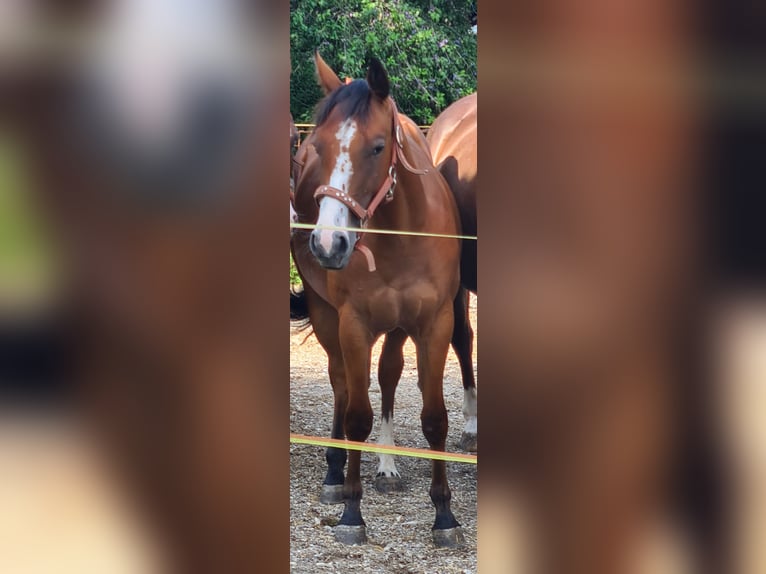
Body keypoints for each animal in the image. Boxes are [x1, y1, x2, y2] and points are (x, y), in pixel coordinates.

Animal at [290, 52, 464, 547]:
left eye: (377, 147)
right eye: (320, 148)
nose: (328, 244)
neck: (401, 233)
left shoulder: (434, 324)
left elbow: (434, 417)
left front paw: (444, 515)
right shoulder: (354, 324)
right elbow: (356, 416)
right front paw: (352, 511)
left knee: (387, 376)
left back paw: (386, 464)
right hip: (326, 316)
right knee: (341, 384)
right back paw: (334, 473)